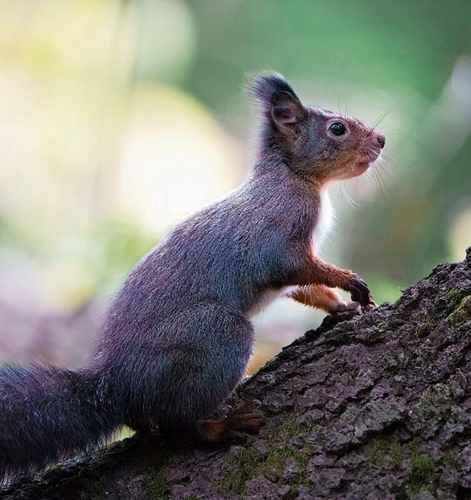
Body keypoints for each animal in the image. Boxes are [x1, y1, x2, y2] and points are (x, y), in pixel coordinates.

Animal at [0, 72, 386, 478]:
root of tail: (117, 384)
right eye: (337, 128)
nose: (381, 140)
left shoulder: (288, 274)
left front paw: (342, 307)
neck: (295, 178)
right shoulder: (279, 238)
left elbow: (305, 289)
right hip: (215, 337)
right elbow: (299, 268)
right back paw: (221, 427)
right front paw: (350, 283)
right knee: (179, 423)